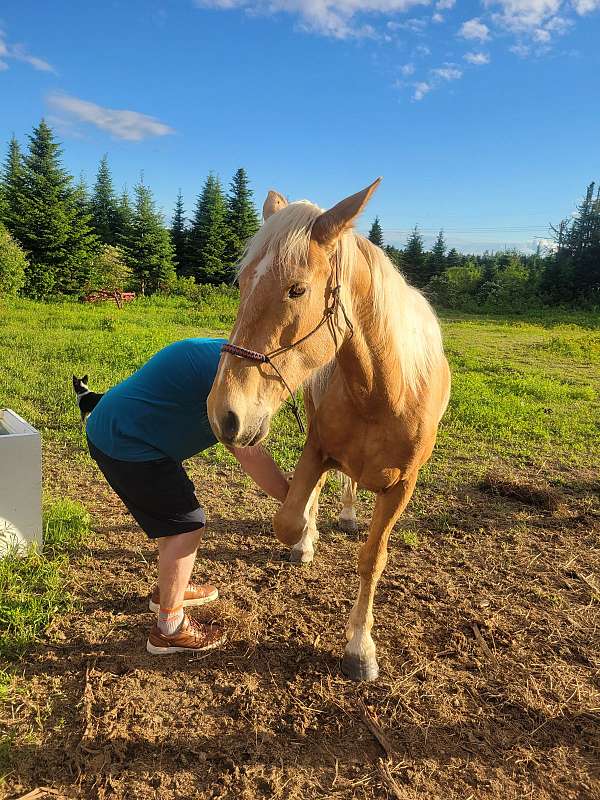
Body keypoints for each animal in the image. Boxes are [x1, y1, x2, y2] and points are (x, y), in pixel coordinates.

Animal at [209, 181, 448, 680]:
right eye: (241, 283)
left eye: (297, 289)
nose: (224, 415)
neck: (383, 391)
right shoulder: (317, 449)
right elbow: (289, 517)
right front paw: (305, 540)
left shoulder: (403, 486)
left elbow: (373, 559)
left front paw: (360, 647)